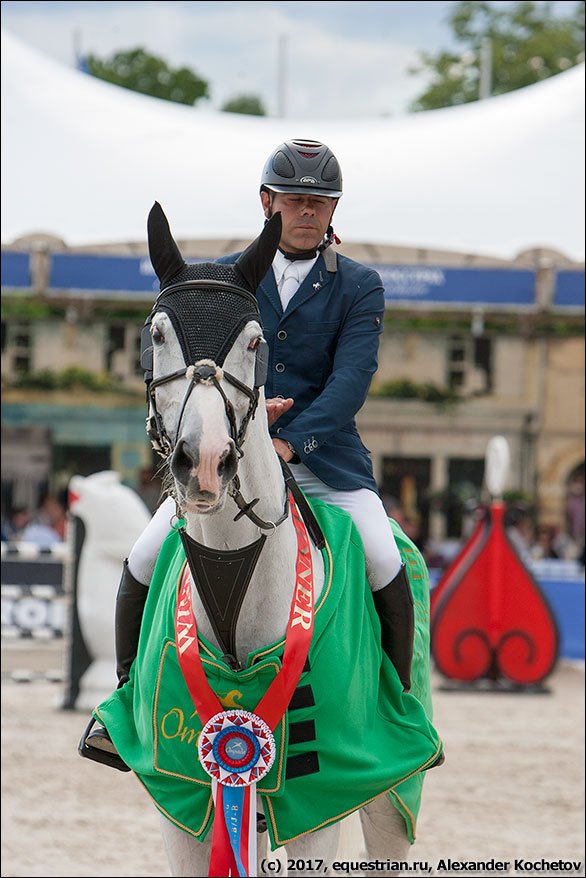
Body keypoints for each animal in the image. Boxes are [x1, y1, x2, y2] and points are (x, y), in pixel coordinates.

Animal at [89, 205, 440, 878]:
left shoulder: (319, 798)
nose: (204, 464)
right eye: (156, 334)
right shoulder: (185, 793)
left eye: (255, 342)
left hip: (390, 791)